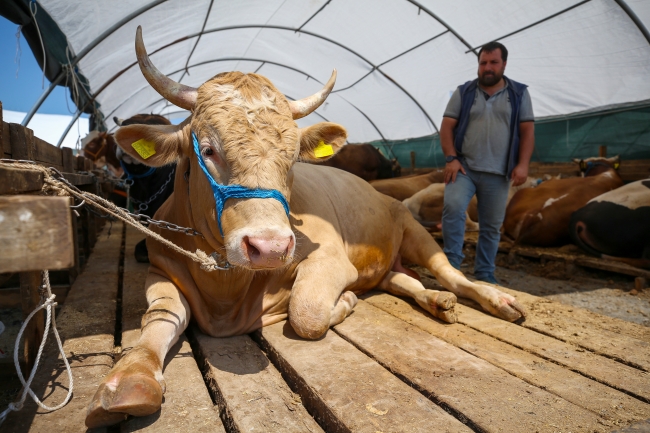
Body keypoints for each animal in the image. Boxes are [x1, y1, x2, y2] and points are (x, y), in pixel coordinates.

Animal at [83, 26, 524, 426]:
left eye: (293, 157)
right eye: (207, 149)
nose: (270, 247)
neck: (225, 290)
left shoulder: (330, 259)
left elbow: (307, 312)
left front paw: (345, 303)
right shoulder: (160, 268)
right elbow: (161, 315)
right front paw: (130, 378)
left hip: (414, 233)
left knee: (451, 275)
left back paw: (494, 300)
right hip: (386, 263)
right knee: (404, 280)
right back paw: (436, 301)